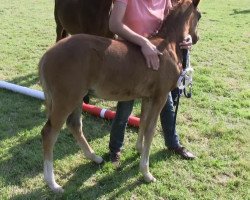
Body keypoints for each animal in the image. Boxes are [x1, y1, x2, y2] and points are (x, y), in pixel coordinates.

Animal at [40, 0, 202, 194]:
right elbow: (151, 129)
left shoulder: (147, 97)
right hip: (66, 100)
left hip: (76, 98)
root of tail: (46, 56)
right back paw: (53, 183)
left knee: (75, 125)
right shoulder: (160, 96)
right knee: (49, 133)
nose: (195, 38)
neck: (165, 45)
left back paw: (95, 158)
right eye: (200, 16)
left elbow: (143, 122)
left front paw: (139, 149)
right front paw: (146, 172)